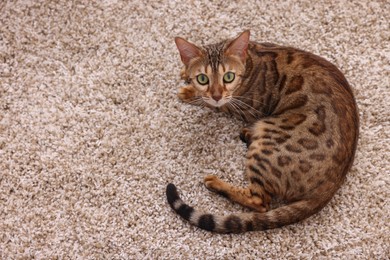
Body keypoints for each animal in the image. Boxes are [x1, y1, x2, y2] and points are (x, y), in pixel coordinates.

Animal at [166, 30, 358, 234]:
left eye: (228, 77)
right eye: (203, 78)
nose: (216, 94)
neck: (250, 61)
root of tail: (332, 185)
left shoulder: (244, 107)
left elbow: (213, 102)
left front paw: (189, 91)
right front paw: (185, 72)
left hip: (267, 139)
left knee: (260, 202)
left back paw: (216, 182)